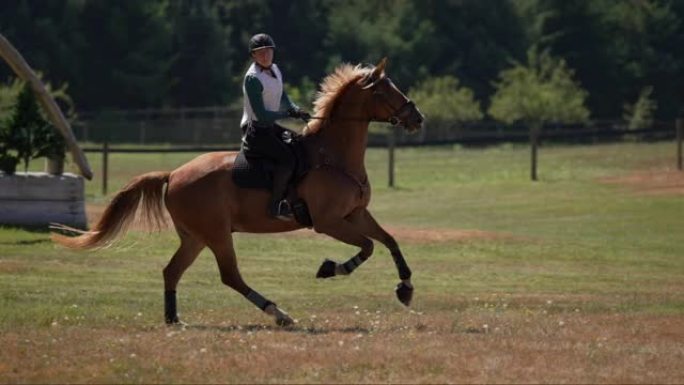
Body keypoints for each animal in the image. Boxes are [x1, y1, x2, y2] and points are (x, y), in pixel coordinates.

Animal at [53, 57, 424, 326]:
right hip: (217, 234)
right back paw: (279, 314)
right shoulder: (328, 222)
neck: (332, 156)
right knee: (230, 276)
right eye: (385, 92)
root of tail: (173, 174)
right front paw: (330, 268)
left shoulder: (356, 213)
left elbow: (389, 240)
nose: (418, 118)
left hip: (196, 237)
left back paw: (174, 319)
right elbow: (367, 247)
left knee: (172, 271)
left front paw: (405, 288)